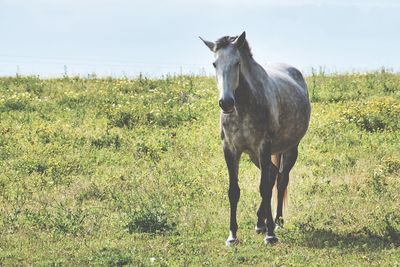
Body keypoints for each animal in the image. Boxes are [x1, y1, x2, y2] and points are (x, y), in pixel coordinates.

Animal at [199, 31, 310, 247]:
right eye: (215, 64)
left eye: (237, 63)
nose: (226, 103)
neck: (243, 106)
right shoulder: (230, 150)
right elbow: (234, 191)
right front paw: (232, 236)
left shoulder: (263, 147)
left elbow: (265, 189)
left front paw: (271, 235)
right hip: (254, 156)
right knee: (273, 174)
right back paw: (261, 222)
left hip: (289, 149)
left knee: (281, 180)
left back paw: (277, 222)